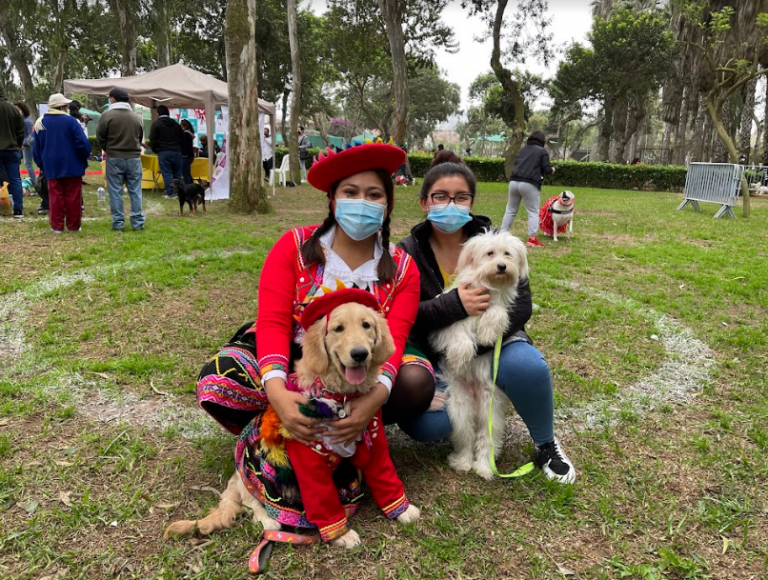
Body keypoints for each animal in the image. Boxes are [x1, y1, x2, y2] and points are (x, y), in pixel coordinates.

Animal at [428, 229, 532, 478]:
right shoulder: (447, 321)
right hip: (459, 408)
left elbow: (497, 312)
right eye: (490, 253)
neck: (488, 286)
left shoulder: (500, 306)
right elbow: (458, 332)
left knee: (486, 439)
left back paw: (484, 467)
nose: (502, 266)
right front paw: (460, 356)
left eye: (507, 254)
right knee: (465, 437)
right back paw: (463, 463)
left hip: (490, 409)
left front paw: (485, 334)